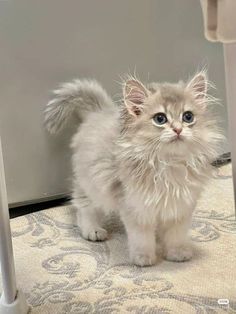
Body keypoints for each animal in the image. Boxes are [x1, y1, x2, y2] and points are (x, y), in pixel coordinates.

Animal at [44, 72, 223, 266]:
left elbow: (176, 235)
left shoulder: (180, 206)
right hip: (91, 183)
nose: (178, 129)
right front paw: (143, 258)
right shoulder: (135, 207)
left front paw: (177, 253)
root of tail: (99, 111)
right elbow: (141, 237)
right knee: (84, 208)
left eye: (188, 117)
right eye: (160, 119)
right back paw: (93, 230)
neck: (169, 163)